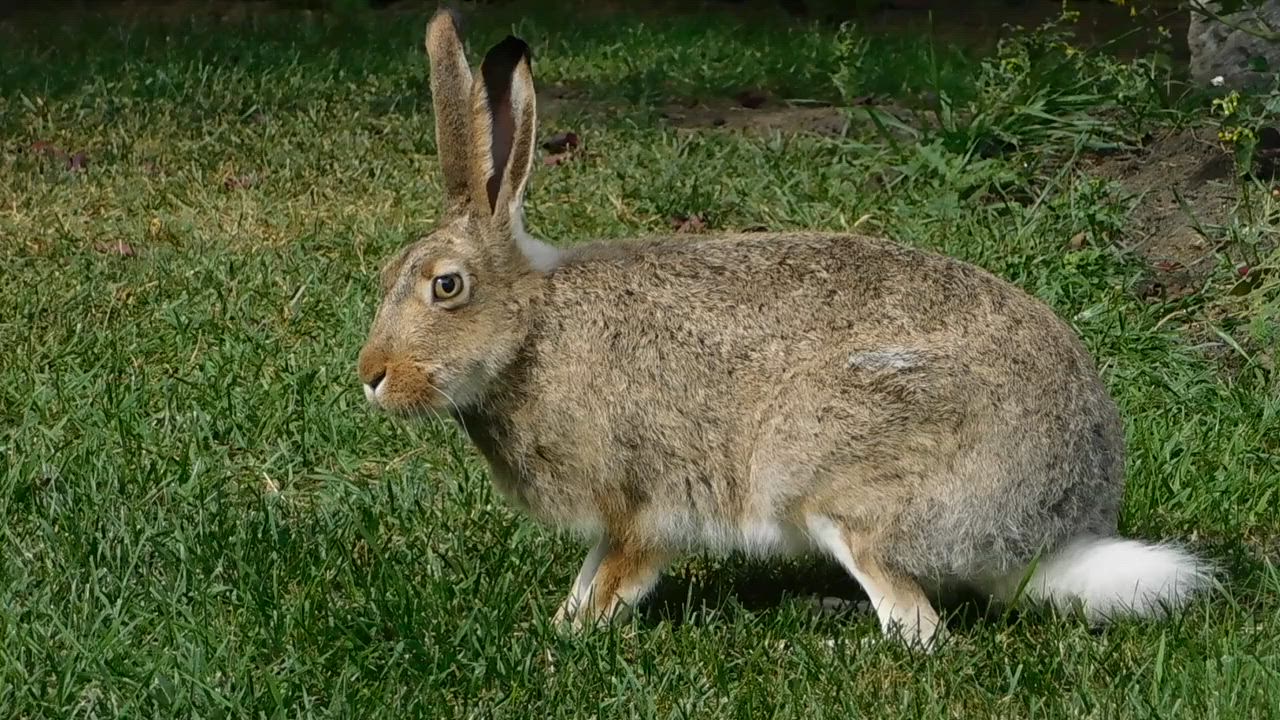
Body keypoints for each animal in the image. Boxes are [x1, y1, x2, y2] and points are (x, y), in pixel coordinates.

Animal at [355, 9, 1213, 650]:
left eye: (446, 286)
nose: (371, 376)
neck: (531, 332)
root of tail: (1052, 522)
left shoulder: (644, 502)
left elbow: (620, 574)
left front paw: (572, 636)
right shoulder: (613, 514)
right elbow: (589, 569)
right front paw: (558, 623)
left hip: (835, 479)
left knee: (917, 625)